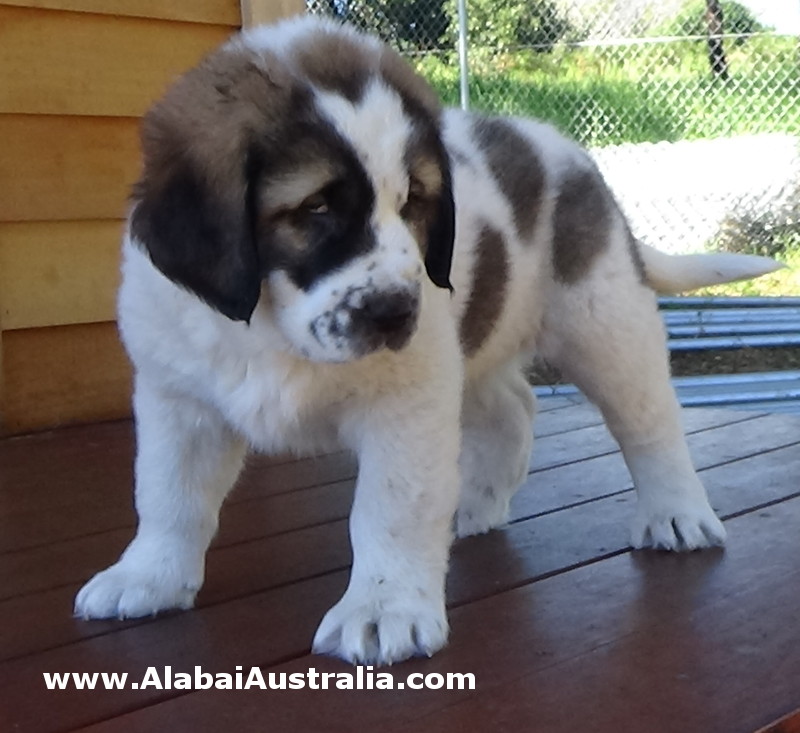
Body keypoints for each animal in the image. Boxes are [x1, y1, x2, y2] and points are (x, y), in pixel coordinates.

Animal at [73, 14, 776, 664]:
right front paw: (148, 576)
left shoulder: (405, 403)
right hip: (476, 345)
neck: (271, 327)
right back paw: (476, 504)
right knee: (513, 409)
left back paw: (676, 514)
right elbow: (168, 493)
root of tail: (570, 156)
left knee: (648, 422)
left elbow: (389, 508)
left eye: (414, 201)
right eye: (316, 208)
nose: (396, 311)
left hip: (604, 321)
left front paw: (383, 608)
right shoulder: (178, 400)